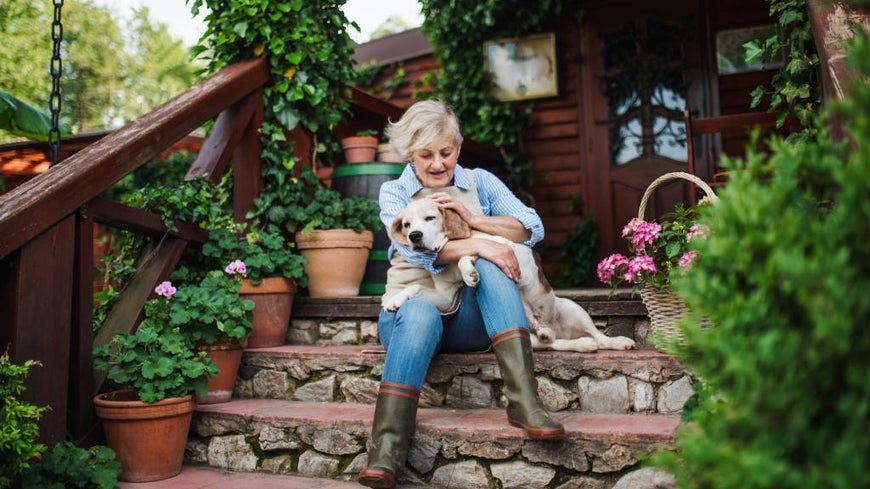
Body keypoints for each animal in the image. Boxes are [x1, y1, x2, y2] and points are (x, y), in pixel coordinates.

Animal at [384, 196, 636, 352]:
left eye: (430, 218)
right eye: (406, 224)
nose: (414, 236)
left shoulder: (509, 251)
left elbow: (474, 253)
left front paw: (469, 272)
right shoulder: (445, 298)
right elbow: (415, 287)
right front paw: (395, 300)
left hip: (573, 308)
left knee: (600, 337)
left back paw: (618, 342)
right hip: (538, 337)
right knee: (553, 342)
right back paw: (564, 339)